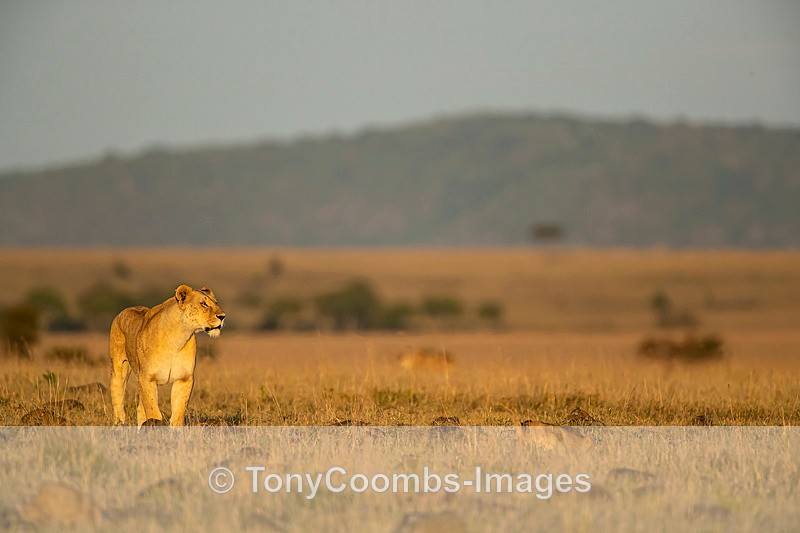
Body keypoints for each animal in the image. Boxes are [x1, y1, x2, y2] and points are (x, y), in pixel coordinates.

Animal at [109, 284, 225, 426]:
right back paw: (118, 424)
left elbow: (178, 413)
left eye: (216, 303)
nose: (223, 316)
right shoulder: (147, 378)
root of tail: (126, 310)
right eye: (204, 304)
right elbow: (153, 412)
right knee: (118, 400)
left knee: (140, 408)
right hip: (119, 370)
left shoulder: (184, 378)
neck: (178, 337)